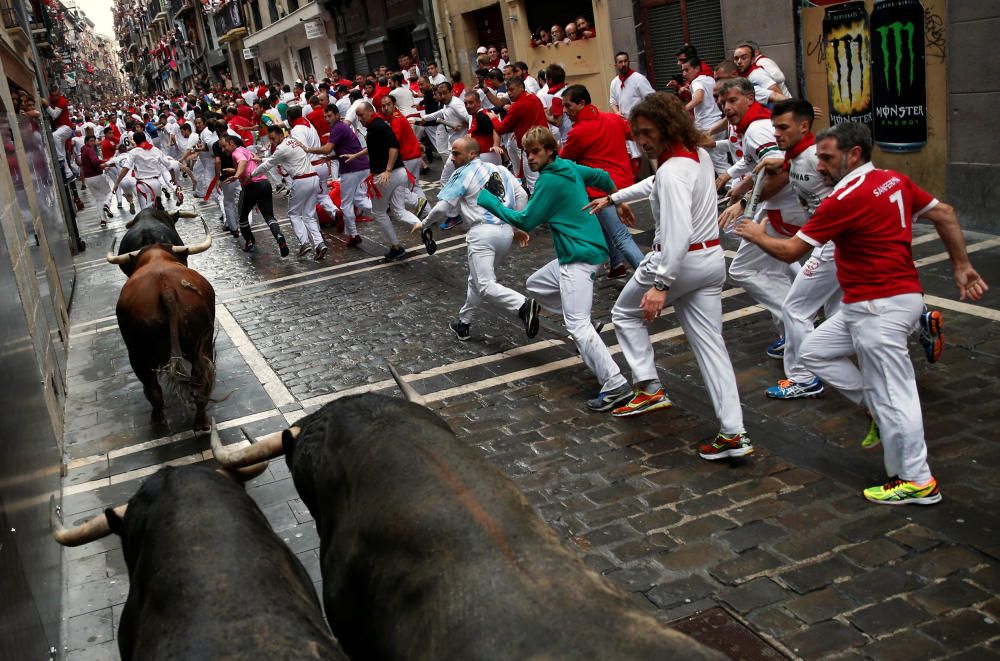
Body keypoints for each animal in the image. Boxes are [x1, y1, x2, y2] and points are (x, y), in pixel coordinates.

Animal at [109, 219, 215, 430]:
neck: (156, 257)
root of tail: (166, 289)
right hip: (201, 345)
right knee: (200, 383)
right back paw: (200, 423)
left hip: (137, 354)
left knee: (153, 390)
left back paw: (158, 422)